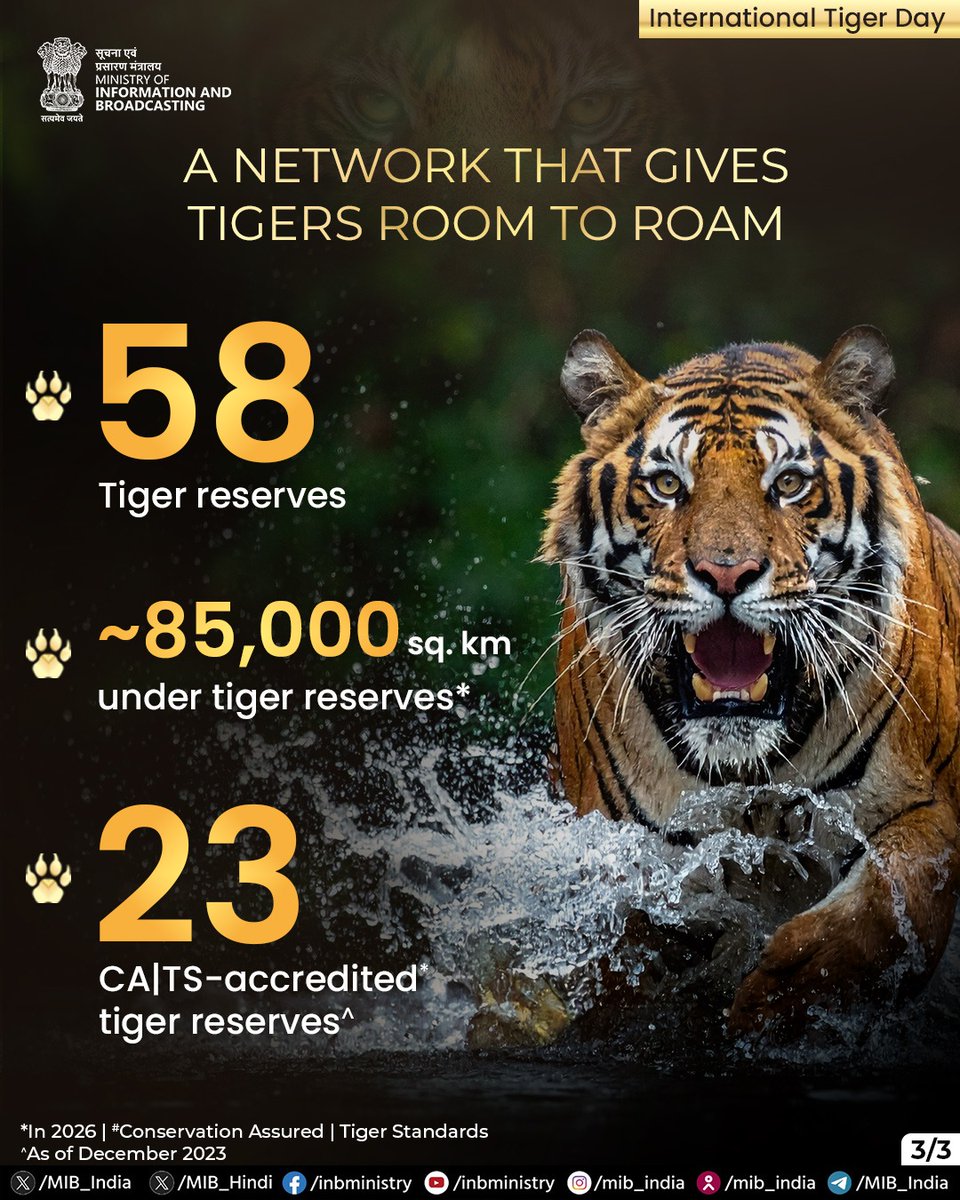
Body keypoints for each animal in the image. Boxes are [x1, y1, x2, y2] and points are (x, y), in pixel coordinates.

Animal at [541, 326, 960, 1036]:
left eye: (788, 483)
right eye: (666, 484)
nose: (726, 573)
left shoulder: (923, 806)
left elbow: (888, 903)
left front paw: (783, 994)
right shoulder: (624, 856)